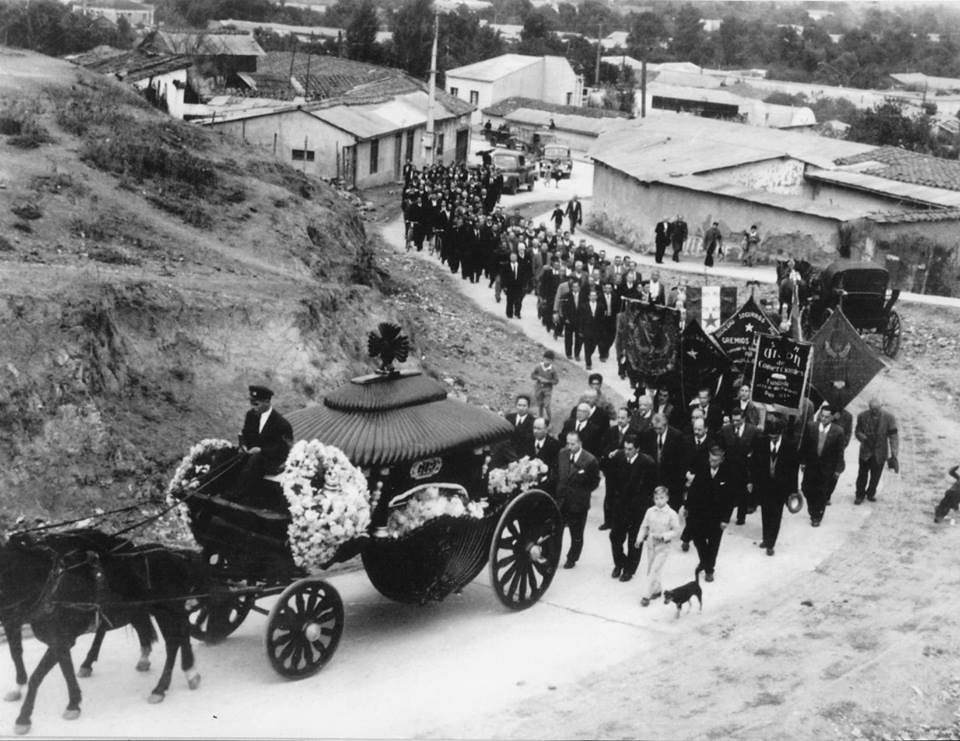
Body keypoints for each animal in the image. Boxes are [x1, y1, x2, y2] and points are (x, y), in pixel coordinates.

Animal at [0, 528, 202, 732]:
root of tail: (176, 555)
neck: (51, 585)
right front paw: (73, 702)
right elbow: (59, 667)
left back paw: (162, 687)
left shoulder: (61, 639)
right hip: (164, 610)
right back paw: (187, 672)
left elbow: (37, 676)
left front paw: (23, 718)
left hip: (166, 610)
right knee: (181, 633)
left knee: (173, 642)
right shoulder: (55, 639)